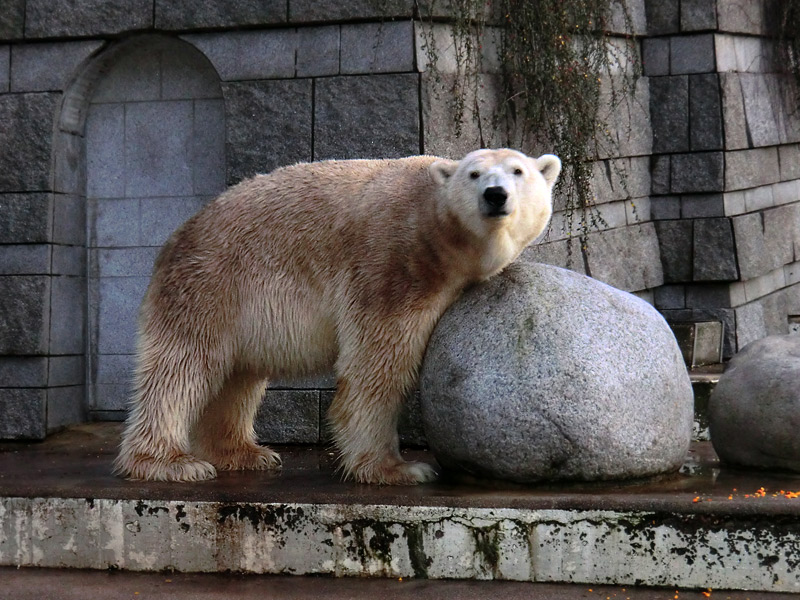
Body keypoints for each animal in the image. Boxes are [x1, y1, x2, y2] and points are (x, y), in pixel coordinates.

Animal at [114, 148, 564, 486]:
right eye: (474, 174)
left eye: (518, 170)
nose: (495, 194)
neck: (435, 232)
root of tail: (178, 236)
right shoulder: (392, 264)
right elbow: (377, 364)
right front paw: (399, 468)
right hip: (210, 284)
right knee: (182, 367)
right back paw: (170, 462)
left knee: (237, 377)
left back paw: (244, 453)